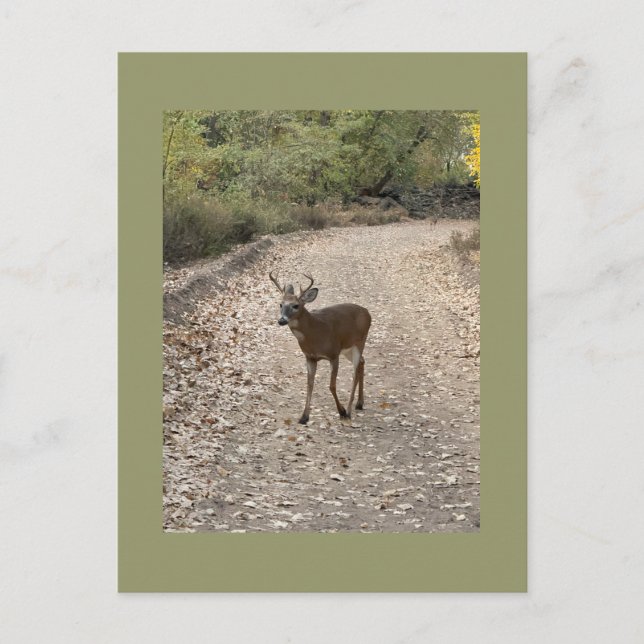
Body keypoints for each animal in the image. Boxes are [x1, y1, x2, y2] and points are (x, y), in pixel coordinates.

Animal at [269, 272, 371, 425]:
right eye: (280, 304)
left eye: (296, 305)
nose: (282, 320)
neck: (316, 333)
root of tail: (367, 313)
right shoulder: (310, 357)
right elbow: (309, 384)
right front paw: (304, 417)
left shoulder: (334, 354)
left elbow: (332, 385)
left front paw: (341, 411)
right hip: (348, 348)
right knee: (362, 362)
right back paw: (359, 403)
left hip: (360, 341)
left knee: (355, 372)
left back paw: (348, 411)